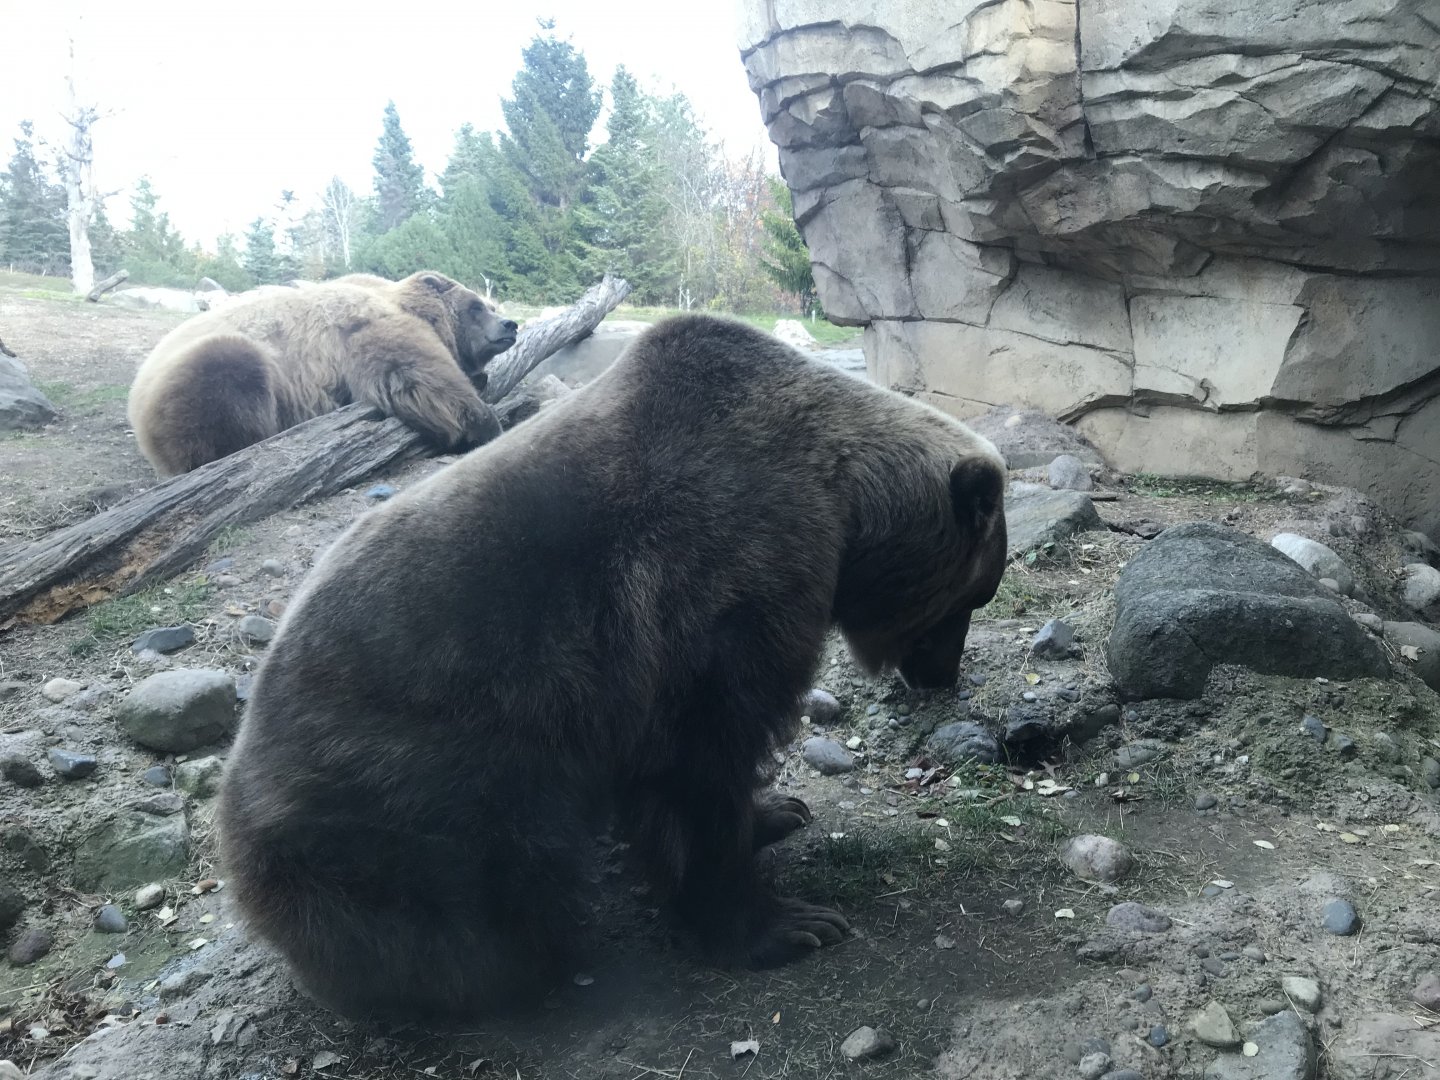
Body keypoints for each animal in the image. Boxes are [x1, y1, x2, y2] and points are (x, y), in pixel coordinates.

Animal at [126, 270, 517, 477]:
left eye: (491, 304)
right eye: (477, 306)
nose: (510, 324)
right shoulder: (361, 326)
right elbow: (413, 371)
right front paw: (483, 423)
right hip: (203, 369)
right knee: (229, 376)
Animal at [216, 312, 1008, 1023]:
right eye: (973, 596)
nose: (941, 676)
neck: (839, 501)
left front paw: (778, 810)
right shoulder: (717, 585)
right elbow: (700, 754)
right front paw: (785, 923)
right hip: (407, 785)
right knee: (473, 897)